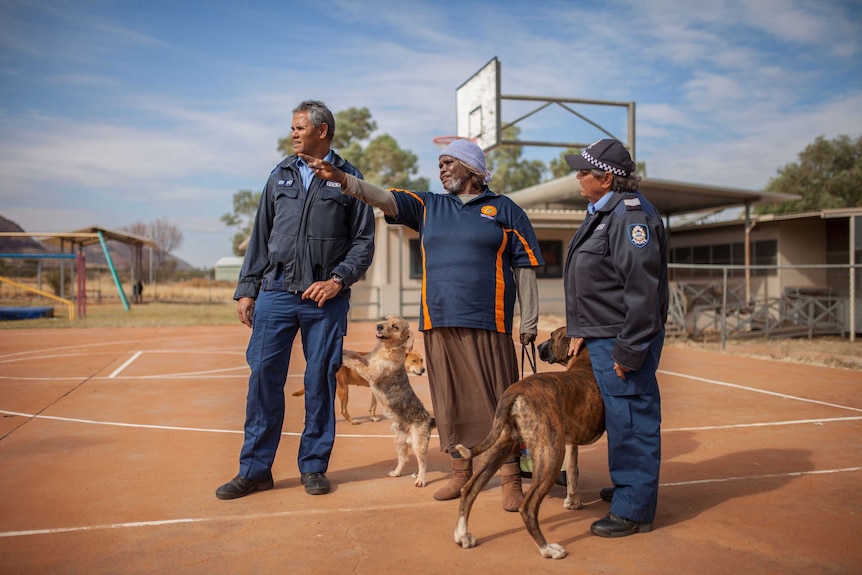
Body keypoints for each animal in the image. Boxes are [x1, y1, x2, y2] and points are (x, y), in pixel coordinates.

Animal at [294, 348, 426, 426]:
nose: (423, 370)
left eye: (421, 360)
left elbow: (373, 405)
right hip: (343, 389)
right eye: (414, 361)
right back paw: (353, 421)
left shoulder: (375, 389)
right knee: (343, 410)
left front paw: (373, 418)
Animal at [342, 318, 438, 488]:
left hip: (419, 444)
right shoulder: (367, 360)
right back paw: (396, 473)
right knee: (404, 459)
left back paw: (421, 480)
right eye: (386, 319)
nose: (379, 325)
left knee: (423, 463)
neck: (386, 349)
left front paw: (345, 359)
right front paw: (344, 349)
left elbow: (356, 363)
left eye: (395, 327)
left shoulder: (371, 373)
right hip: (398, 442)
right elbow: (356, 354)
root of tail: (429, 419)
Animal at [452, 330, 608, 560]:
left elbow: (573, 472)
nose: (539, 346)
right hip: (551, 453)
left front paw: (573, 502)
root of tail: (515, 391)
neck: (584, 358)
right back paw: (547, 549)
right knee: (528, 507)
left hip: (500, 447)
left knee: (470, 488)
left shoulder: (571, 443)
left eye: (552, 337)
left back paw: (462, 535)